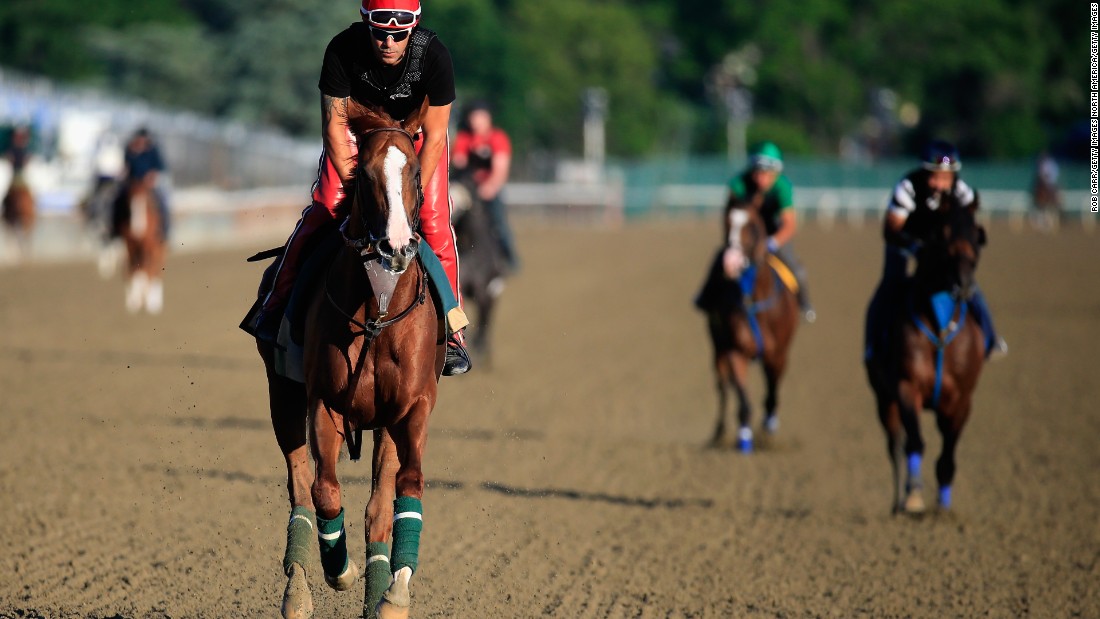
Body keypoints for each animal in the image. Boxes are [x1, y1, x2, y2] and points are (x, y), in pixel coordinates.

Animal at [118, 179, 167, 314]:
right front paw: (134, 301)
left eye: (145, 202)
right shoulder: (130, 246)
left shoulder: (148, 244)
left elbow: (147, 268)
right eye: (129, 200)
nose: (138, 227)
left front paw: (148, 299)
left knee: (155, 268)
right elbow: (134, 268)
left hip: (157, 249)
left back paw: (153, 301)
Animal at [255, 97, 444, 619]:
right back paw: (298, 591)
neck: (377, 311)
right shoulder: (325, 403)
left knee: (377, 508)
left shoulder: (411, 408)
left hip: (385, 425)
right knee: (301, 485)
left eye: (415, 172)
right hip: (283, 397)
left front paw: (394, 593)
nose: (396, 246)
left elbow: (407, 488)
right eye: (366, 175)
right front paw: (340, 569)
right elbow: (324, 491)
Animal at [695, 201, 800, 452]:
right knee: (723, 387)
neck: (754, 299)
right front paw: (744, 436)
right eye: (726, 221)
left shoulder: (778, 354)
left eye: (752, 226)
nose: (731, 261)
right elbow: (743, 397)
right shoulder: (735, 350)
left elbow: (772, 394)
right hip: (718, 347)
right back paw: (719, 433)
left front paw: (768, 429)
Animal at [866, 197, 990, 514]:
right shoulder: (906, 386)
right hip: (883, 399)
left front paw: (944, 507)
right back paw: (898, 502)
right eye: (941, 233)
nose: (963, 283)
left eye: (976, 235)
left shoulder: (961, 399)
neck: (941, 330)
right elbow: (914, 442)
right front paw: (913, 497)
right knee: (895, 445)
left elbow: (947, 455)